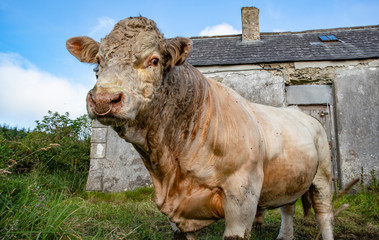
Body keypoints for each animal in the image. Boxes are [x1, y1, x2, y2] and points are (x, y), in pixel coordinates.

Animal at [67, 15, 334, 239]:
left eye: (154, 60)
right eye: (99, 61)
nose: (104, 99)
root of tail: (298, 111)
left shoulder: (242, 196)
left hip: (323, 174)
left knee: (324, 214)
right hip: (290, 176)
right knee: (288, 207)